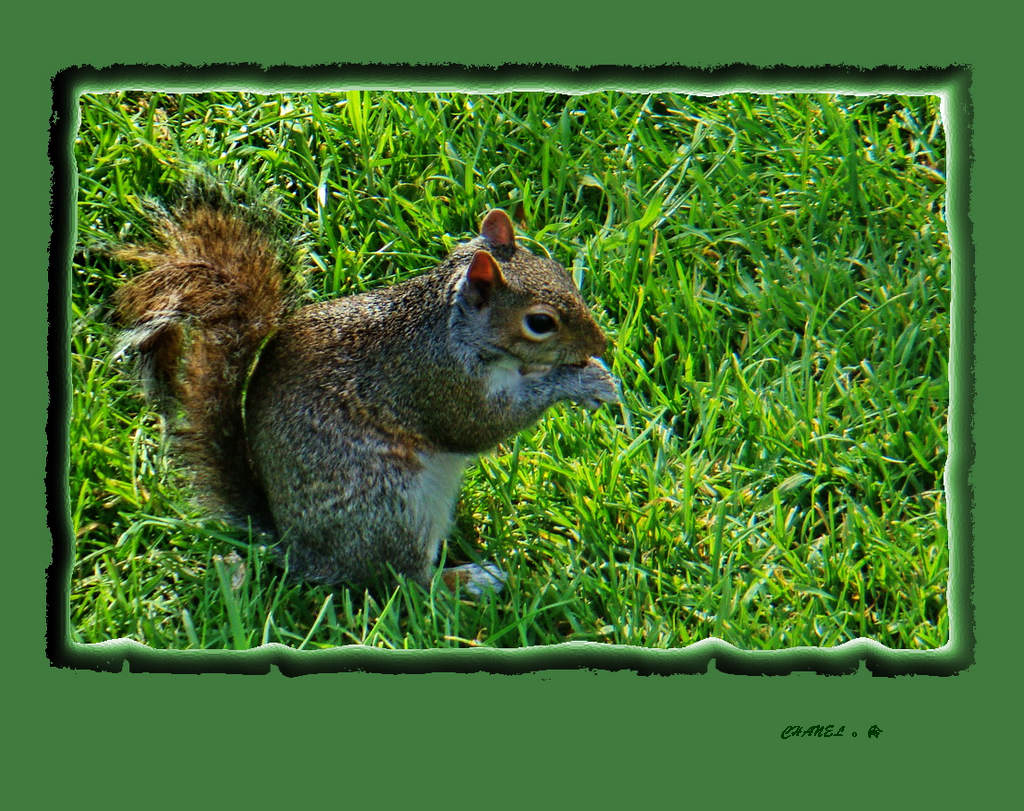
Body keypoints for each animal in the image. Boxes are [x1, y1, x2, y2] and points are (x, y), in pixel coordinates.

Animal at [115, 187, 618, 598]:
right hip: (391, 507)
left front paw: (593, 372)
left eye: (560, 271)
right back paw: (468, 581)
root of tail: (300, 552)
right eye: (540, 322)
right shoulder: (438, 381)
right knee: (407, 583)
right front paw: (579, 382)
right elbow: (480, 428)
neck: (451, 326)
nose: (601, 344)